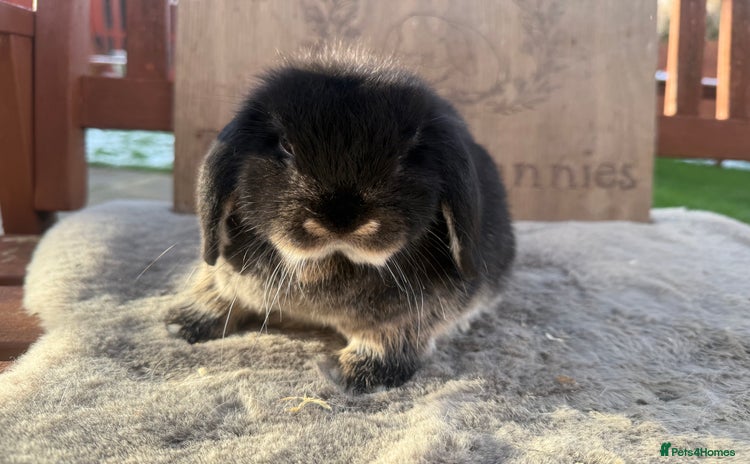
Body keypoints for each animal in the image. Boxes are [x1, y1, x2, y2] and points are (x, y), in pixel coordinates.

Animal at [167, 48, 515, 393]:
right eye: (285, 146)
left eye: (407, 155)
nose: (341, 219)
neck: (329, 263)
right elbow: (218, 286)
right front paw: (182, 322)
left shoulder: (412, 317)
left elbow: (394, 334)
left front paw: (363, 373)